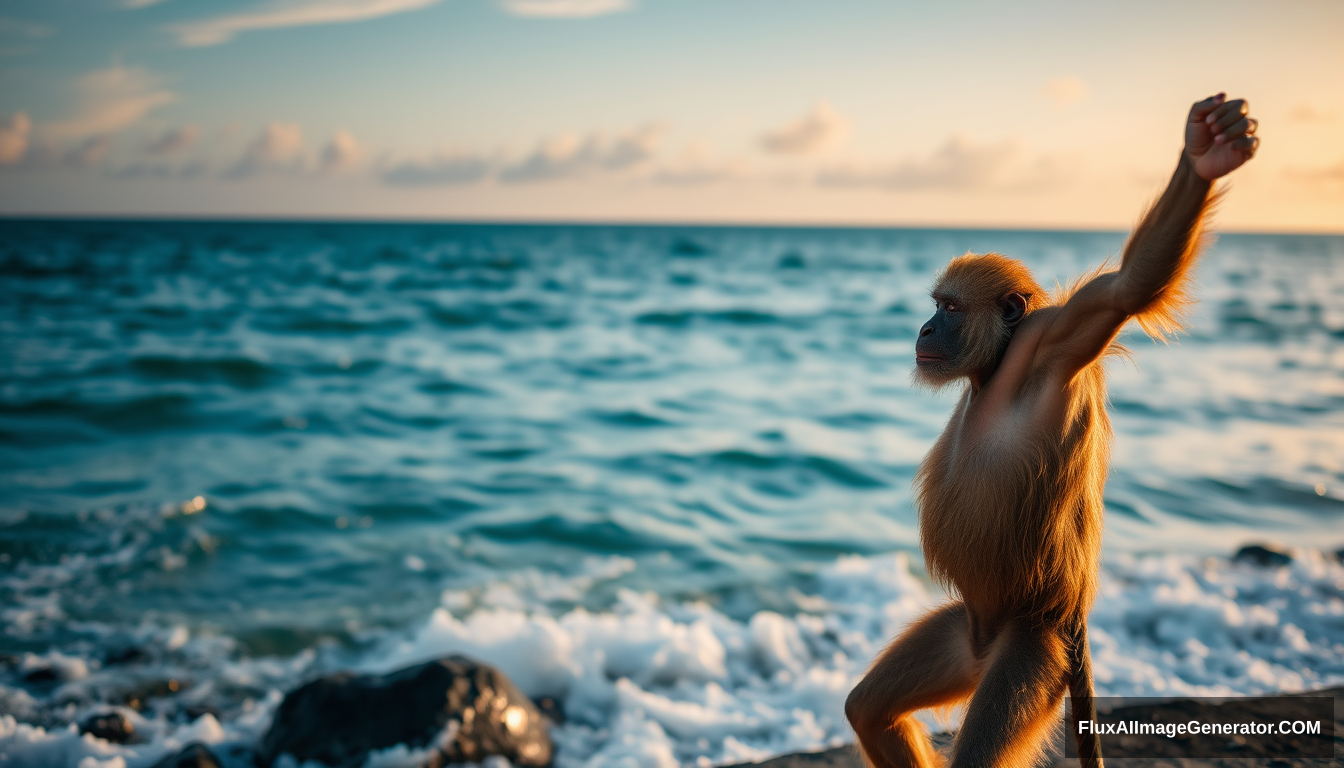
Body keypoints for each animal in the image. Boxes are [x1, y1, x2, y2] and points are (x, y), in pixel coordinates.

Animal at [849, 94, 1257, 768]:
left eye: (949, 309)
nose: (923, 330)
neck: (997, 369)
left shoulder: (1055, 339)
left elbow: (1129, 286)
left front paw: (1204, 158)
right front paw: (1205, 151)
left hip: (1031, 654)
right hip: (964, 642)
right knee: (871, 710)